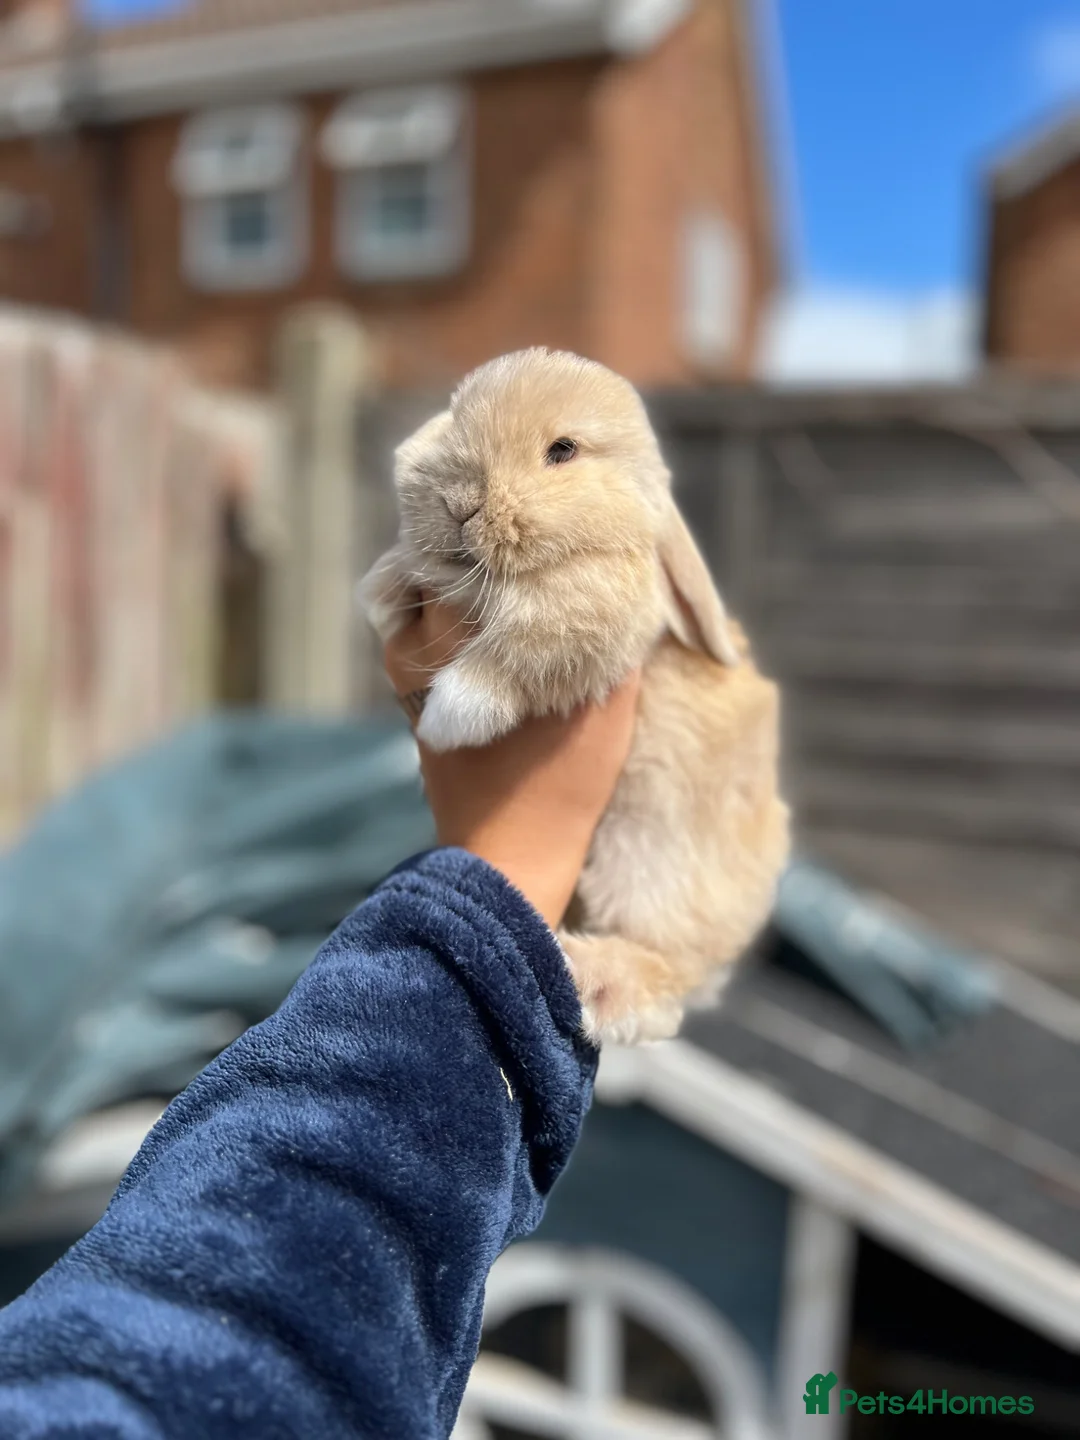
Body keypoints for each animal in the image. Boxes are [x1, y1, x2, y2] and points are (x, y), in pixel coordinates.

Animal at [359, 347, 790, 1046]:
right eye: (454, 417)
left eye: (562, 450)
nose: (459, 504)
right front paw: (380, 594)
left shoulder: (586, 616)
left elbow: (515, 654)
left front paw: (449, 720)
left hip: (650, 863)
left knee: (666, 979)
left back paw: (592, 982)